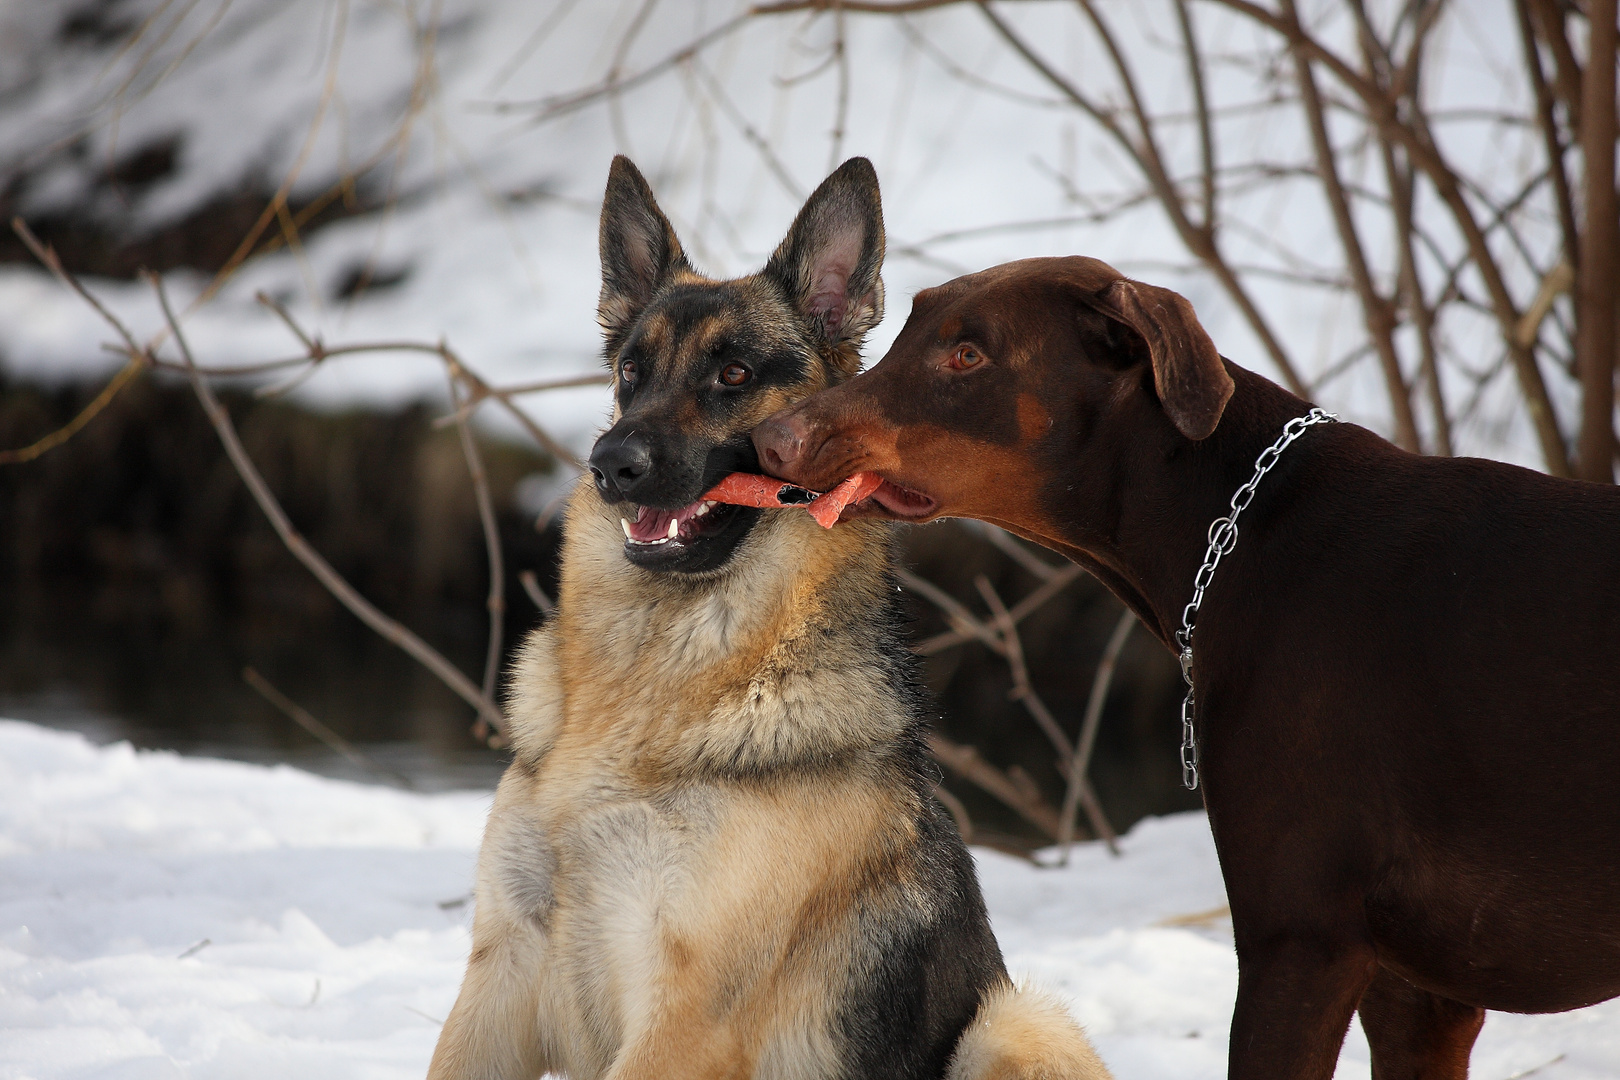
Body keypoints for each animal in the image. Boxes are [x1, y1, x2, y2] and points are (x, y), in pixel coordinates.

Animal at [424, 153, 1108, 1080]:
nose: (610, 464)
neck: (654, 676)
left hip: (1017, 1022)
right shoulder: (501, 973)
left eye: (735, 375)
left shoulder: (683, 1018)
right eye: (630, 371)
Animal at [754, 255, 1620, 1080]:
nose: (771, 439)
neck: (1249, 528)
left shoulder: (1299, 941)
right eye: (905, 331)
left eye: (968, 354)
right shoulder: (1418, 997)